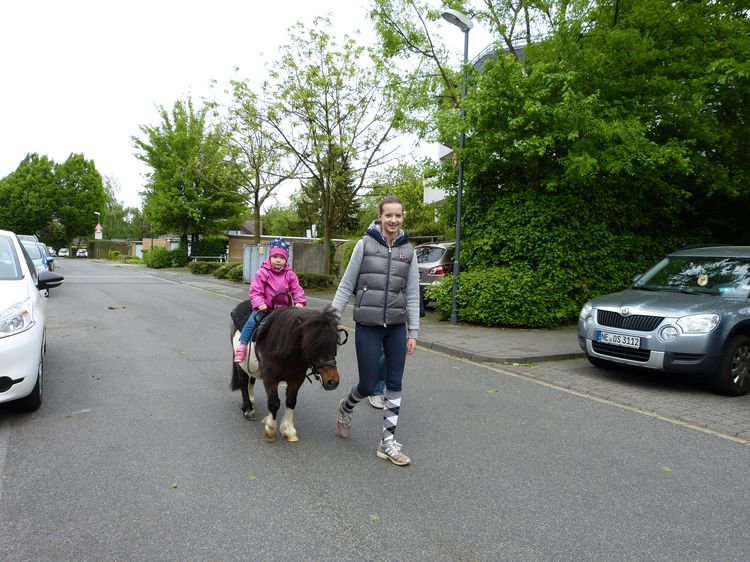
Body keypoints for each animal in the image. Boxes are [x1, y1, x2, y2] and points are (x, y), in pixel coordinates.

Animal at [229, 301, 346, 442]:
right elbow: (274, 403)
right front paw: (270, 429)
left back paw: (251, 401)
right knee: (243, 382)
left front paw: (289, 431)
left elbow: (291, 401)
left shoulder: (296, 379)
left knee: (251, 380)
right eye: (313, 345)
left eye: (334, 344)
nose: (332, 382)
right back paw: (248, 409)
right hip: (239, 364)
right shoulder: (270, 379)